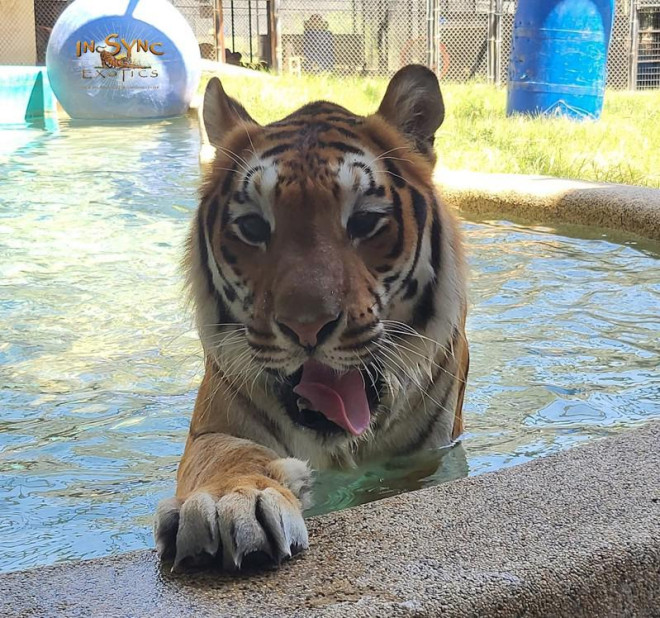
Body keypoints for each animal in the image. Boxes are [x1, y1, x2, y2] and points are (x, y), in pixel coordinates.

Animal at [154, 64, 469, 572]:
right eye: (253, 227)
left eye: (365, 221)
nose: (307, 327)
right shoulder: (215, 424)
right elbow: (225, 456)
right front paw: (229, 502)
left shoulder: (429, 453)